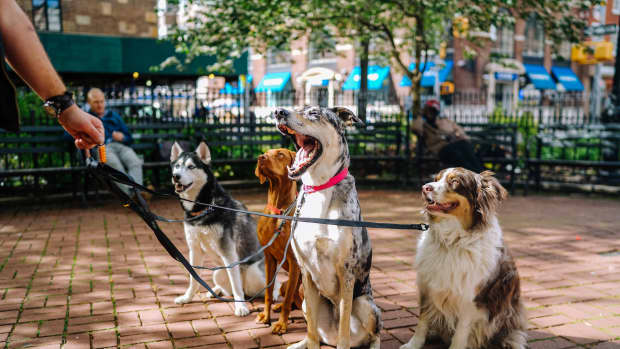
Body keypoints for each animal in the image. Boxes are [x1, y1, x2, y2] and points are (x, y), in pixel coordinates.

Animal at [253, 148, 304, 334]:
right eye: (265, 153)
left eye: (280, 154)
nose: (260, 158)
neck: (278, 211)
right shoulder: (269, 257)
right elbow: (268, 293)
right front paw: (266, 316)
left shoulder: (294, 261)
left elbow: (288, 301)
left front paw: (282, 324)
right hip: (284, 284)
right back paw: (278, 307)